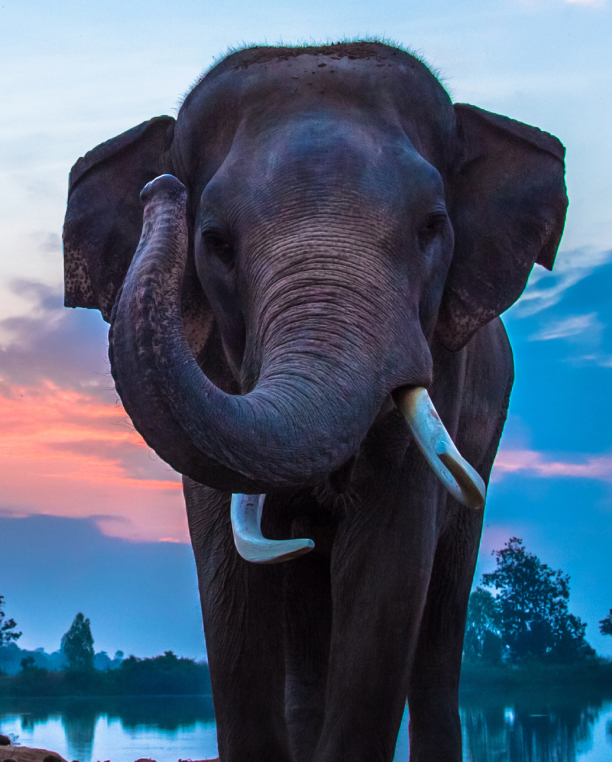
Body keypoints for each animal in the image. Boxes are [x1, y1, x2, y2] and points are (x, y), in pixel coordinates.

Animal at [62, 42, 567, 762]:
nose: (161, 189)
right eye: (215, 241)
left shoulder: (441, 366)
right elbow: (228, 575)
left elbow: (388, 568)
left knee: (442, 616)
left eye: (432, 227)